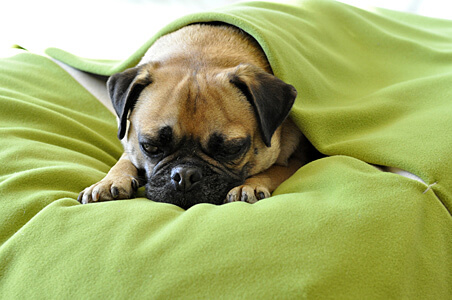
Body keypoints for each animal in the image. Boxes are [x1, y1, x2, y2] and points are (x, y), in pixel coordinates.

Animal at [77, 22, 318, 209]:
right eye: (150, 146)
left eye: (231, 149)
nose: (185, 175)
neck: (201, 51)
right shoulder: (130, 144)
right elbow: (124, 160)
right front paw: (110, 181)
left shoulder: (295, 160)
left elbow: (274, 170)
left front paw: (249, 185)